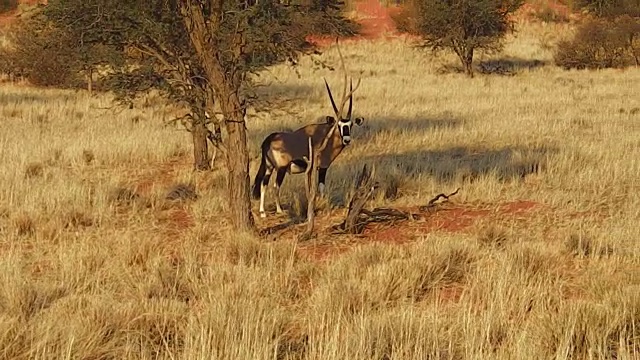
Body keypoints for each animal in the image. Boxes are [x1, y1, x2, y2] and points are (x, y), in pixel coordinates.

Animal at [251, 77, 364, 218]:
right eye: (338, 125)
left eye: (350, 125)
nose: (347, 140)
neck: (326, 135)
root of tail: (269, 139)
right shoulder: (322, 167)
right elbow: (321, 187)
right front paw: (323, 206)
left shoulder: (310, 170)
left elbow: (311, 188)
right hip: (281, 168)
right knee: (276, 186)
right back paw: (279, 210)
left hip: (268, 167)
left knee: (263, 184)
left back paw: (262, 212)